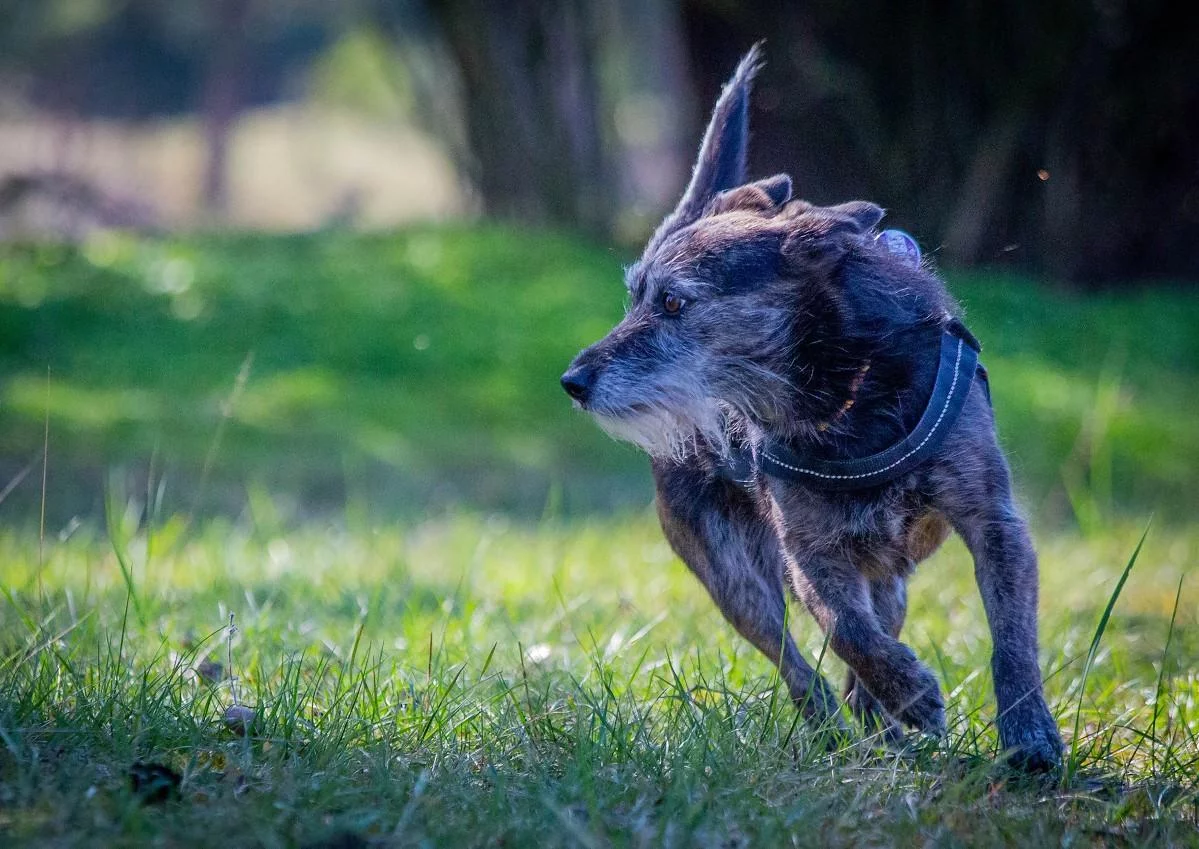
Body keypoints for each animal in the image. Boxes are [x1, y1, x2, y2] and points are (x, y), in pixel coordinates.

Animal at [556, 47, 1064, 777]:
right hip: (729, 569)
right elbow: (845, 629)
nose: (573, 381)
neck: (841, 393)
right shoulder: (809, 553)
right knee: (793, 656)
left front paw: (1028, 735)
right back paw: (837, 721)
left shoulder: (994, 524)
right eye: (634, 297)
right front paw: (911, 690)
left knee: (873, 629)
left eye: (673, 301)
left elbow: (1011, 638)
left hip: (888, 577)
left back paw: (877, 717)